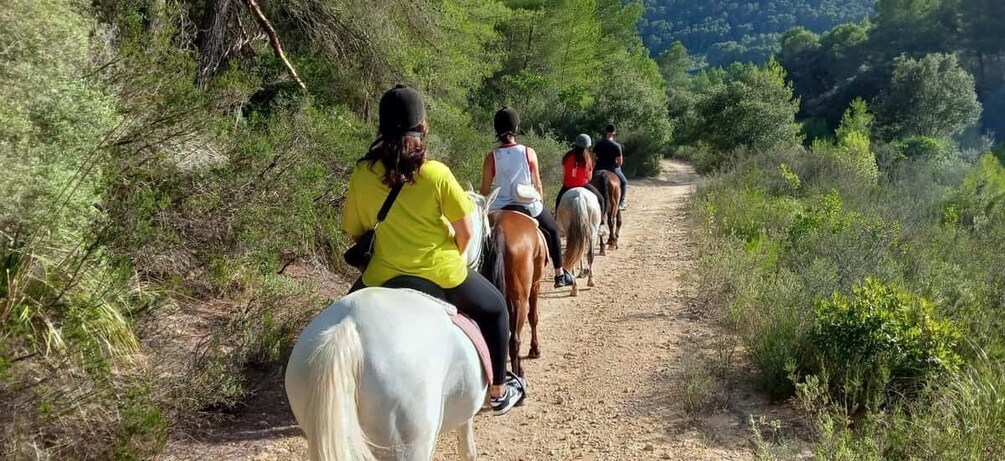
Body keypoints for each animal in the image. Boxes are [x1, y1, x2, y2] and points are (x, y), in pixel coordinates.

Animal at [480, 210, 550, 377]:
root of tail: (498, 227)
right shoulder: (535, 285)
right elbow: (533, 318)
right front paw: (535, 349)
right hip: (520, 299)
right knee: (515, 340)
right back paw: (518, 374)